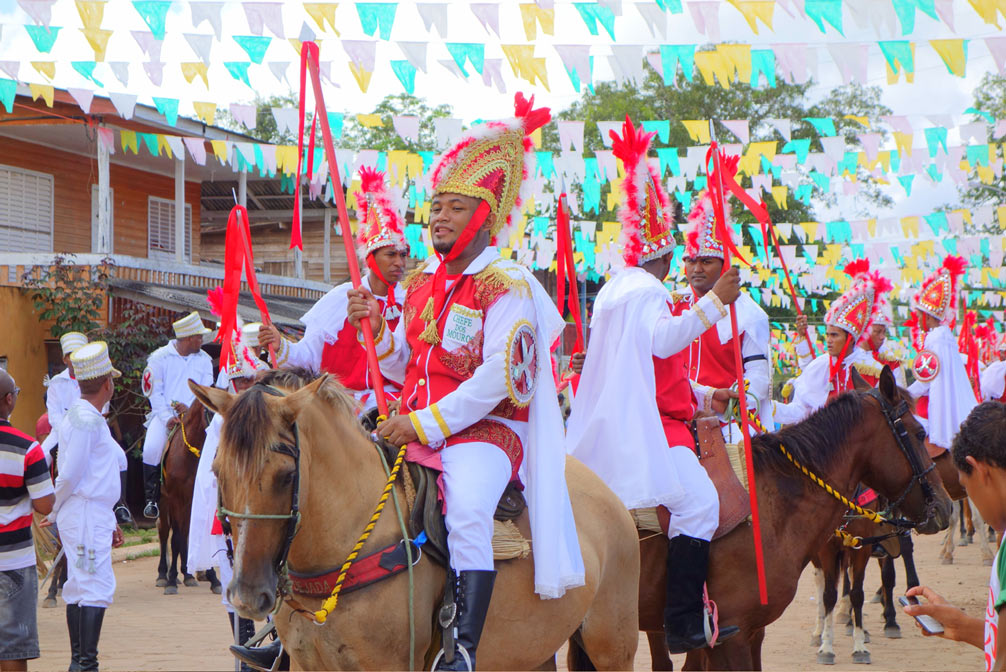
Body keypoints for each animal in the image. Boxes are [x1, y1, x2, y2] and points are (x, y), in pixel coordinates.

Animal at [156, 396, 220, 595]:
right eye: (209, 410)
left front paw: (214, 579)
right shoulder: (176, 498)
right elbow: (175, 538)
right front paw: (171, 581)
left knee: (186, 531)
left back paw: (188, 573)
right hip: (164, 502)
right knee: (165, 531)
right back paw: (164, 575)